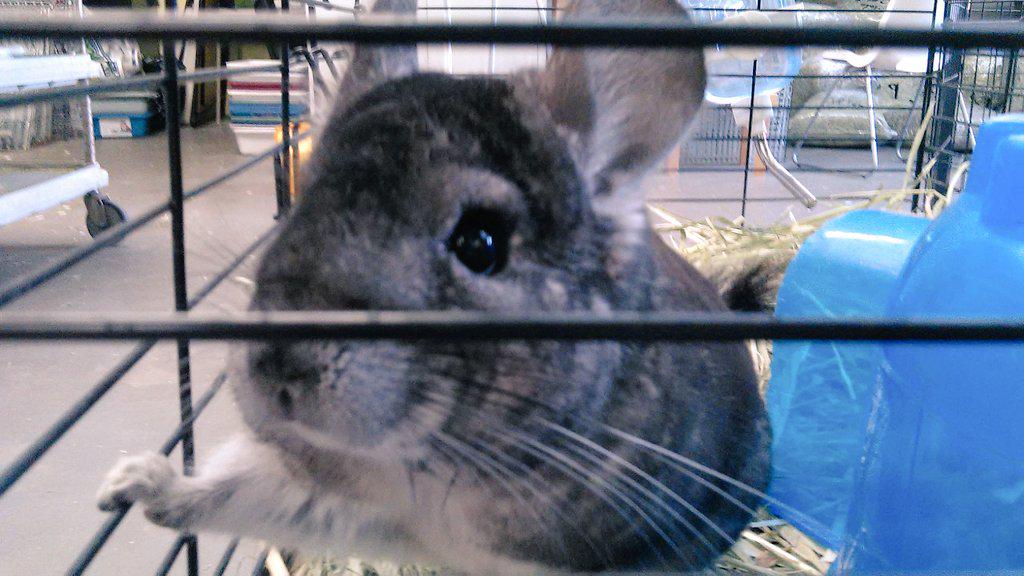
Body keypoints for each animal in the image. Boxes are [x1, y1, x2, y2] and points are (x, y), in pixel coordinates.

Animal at [96, 0, 771, 573]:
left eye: (481, 242)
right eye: (296, 207)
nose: (278, 368)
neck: (423, 472)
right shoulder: (351, 505)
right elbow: (236, 491)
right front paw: (130, 485)